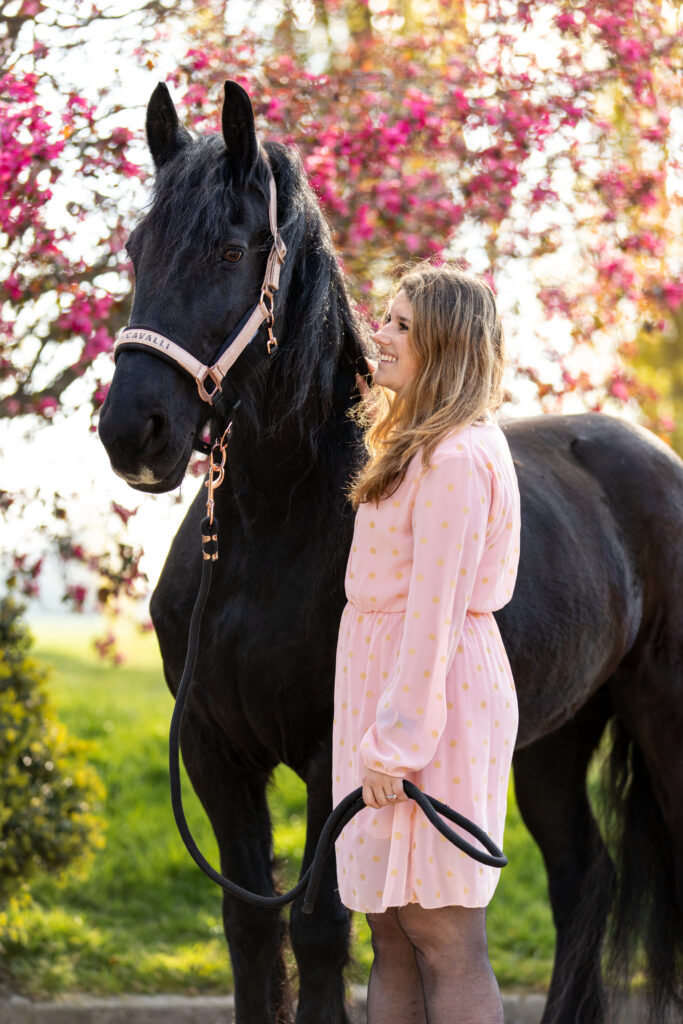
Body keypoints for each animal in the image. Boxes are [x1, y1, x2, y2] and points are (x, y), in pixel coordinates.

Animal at [98, 81, 679, 1024]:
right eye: (135, 249)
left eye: (230, 249)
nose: (132, 432)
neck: (265, 539)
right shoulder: (214, 752)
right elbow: (250, 929)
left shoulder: (335, 754)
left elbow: (320, 931)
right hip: (551, 740)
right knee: (582, 879)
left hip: (659, 714)